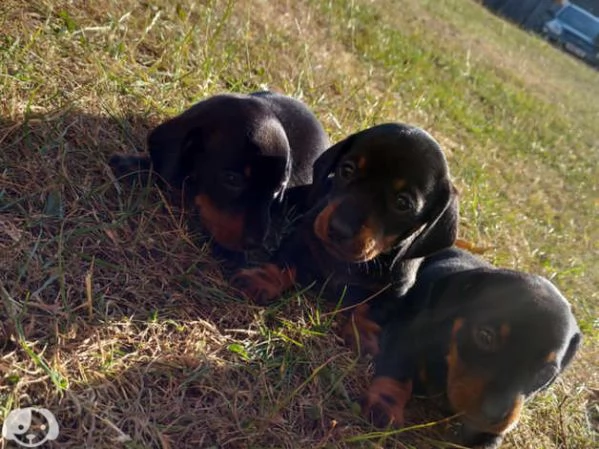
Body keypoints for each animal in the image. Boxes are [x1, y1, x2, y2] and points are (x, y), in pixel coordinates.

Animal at [364, 247, 584, 446]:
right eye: (485, 336)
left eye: (546, 373)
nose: (494, 415)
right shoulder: (403, 332)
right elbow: (398, 371)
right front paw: (385, 407)